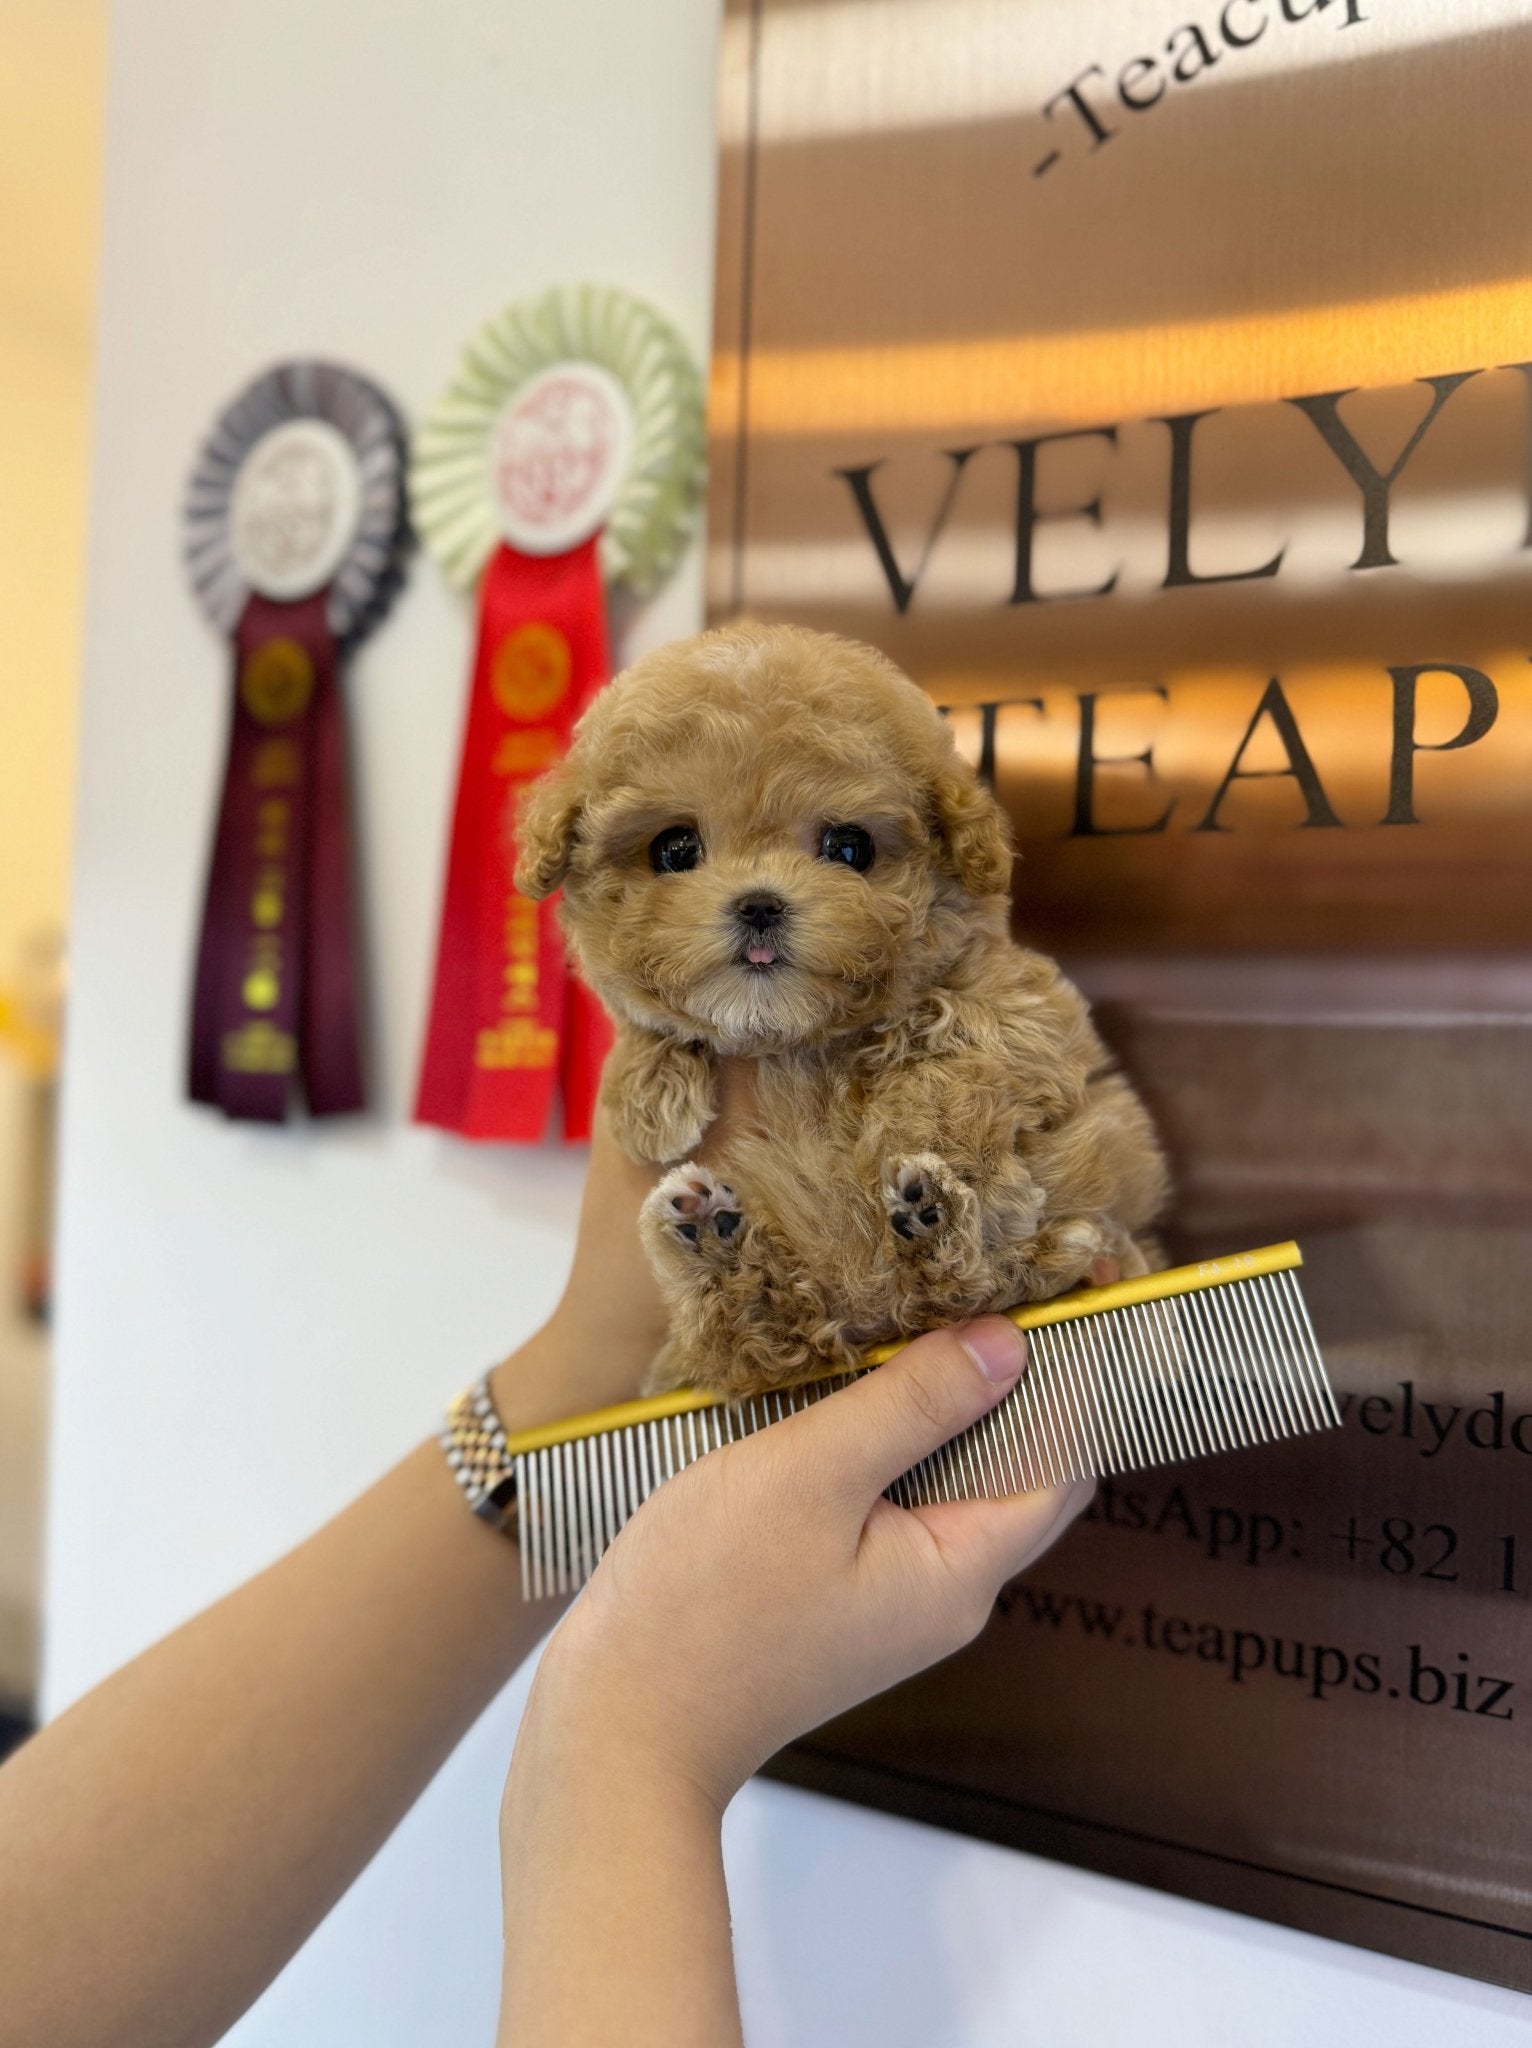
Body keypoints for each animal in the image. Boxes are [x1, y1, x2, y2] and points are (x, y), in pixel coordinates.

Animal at [520, 618, 1163, 1392]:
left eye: (849, 847)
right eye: (675, 849)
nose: (759, 905)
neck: (793, 1035)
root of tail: (872, 1315)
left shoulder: (1020, 1002)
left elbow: (964, 1038)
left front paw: (925, 1126)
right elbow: (651, 1021)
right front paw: (643, 1099)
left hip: (994, 1276)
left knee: (965, 1287)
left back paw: (933, 1216)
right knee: (759, 1336)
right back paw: (708, 1240)